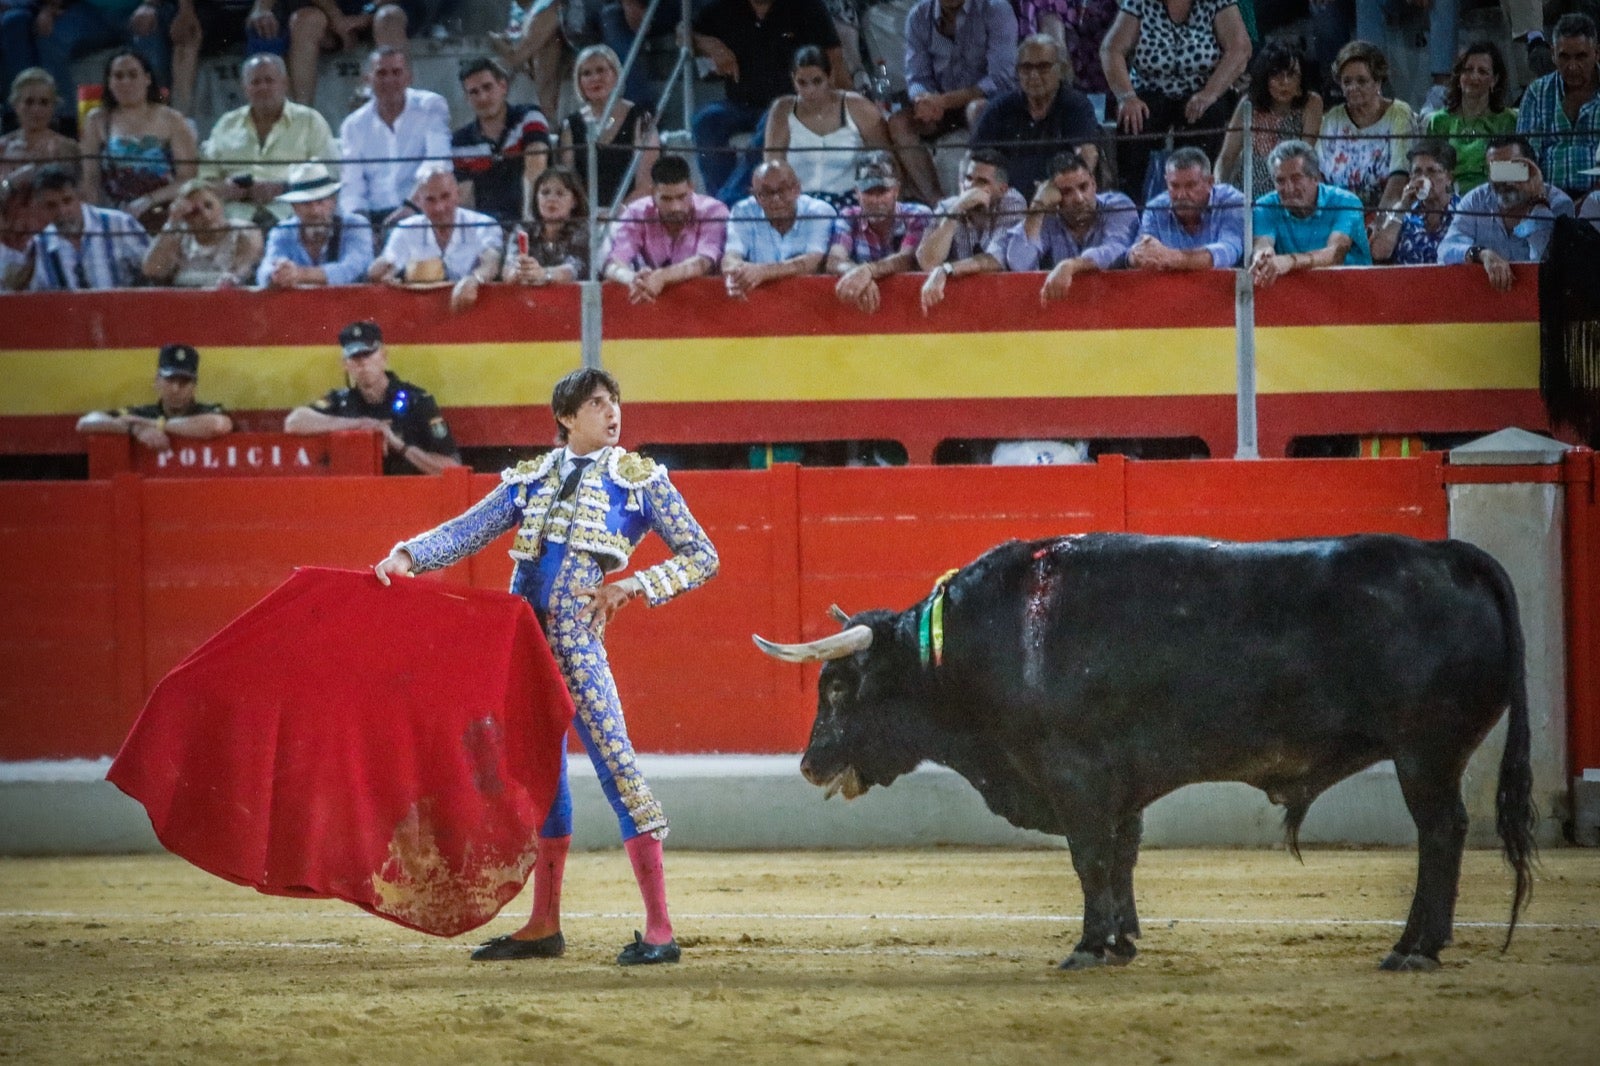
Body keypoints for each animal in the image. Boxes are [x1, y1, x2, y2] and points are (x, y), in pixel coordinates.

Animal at [755, 531, 1529, 973]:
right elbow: (1121, 856)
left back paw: (1412, 949)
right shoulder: (1119, 785)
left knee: (1441, 832)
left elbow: (1090, 857)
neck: (981, 641)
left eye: (839, 686)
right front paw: (1121, 941)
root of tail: (1448, 554)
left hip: (1425, 751)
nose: (809, 763)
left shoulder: (1075, 776)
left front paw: (1087, 947)